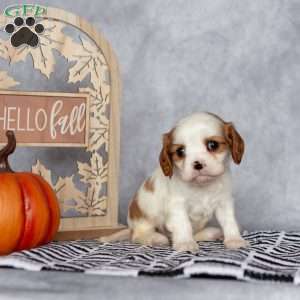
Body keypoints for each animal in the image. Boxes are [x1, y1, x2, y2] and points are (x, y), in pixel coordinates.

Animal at [101, 112, 248, 251]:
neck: (202, 186)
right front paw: (185, 243)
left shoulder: (224, 202)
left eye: (213, 145)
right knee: (137, 236)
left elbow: (229, 221)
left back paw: (211, 233)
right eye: (180, 151)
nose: (197, 164)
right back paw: (155, 238)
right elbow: (183, 224)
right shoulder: (177, 206)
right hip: (143, 221)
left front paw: (234, 239)